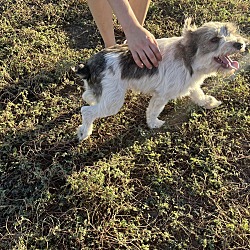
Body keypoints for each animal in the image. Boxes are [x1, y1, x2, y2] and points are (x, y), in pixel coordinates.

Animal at [74, 18, 246, 141]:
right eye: (214, 39)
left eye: (230, 32)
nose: (240, 44)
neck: (188, 58)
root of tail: (89, 65)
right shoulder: (161, 95)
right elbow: (153, 111)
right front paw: (154, 124)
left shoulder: (190, 84)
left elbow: (199, 94)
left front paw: (208, 102)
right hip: (113, 102)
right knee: (86, 111)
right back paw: (84, 133)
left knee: (87, 96)